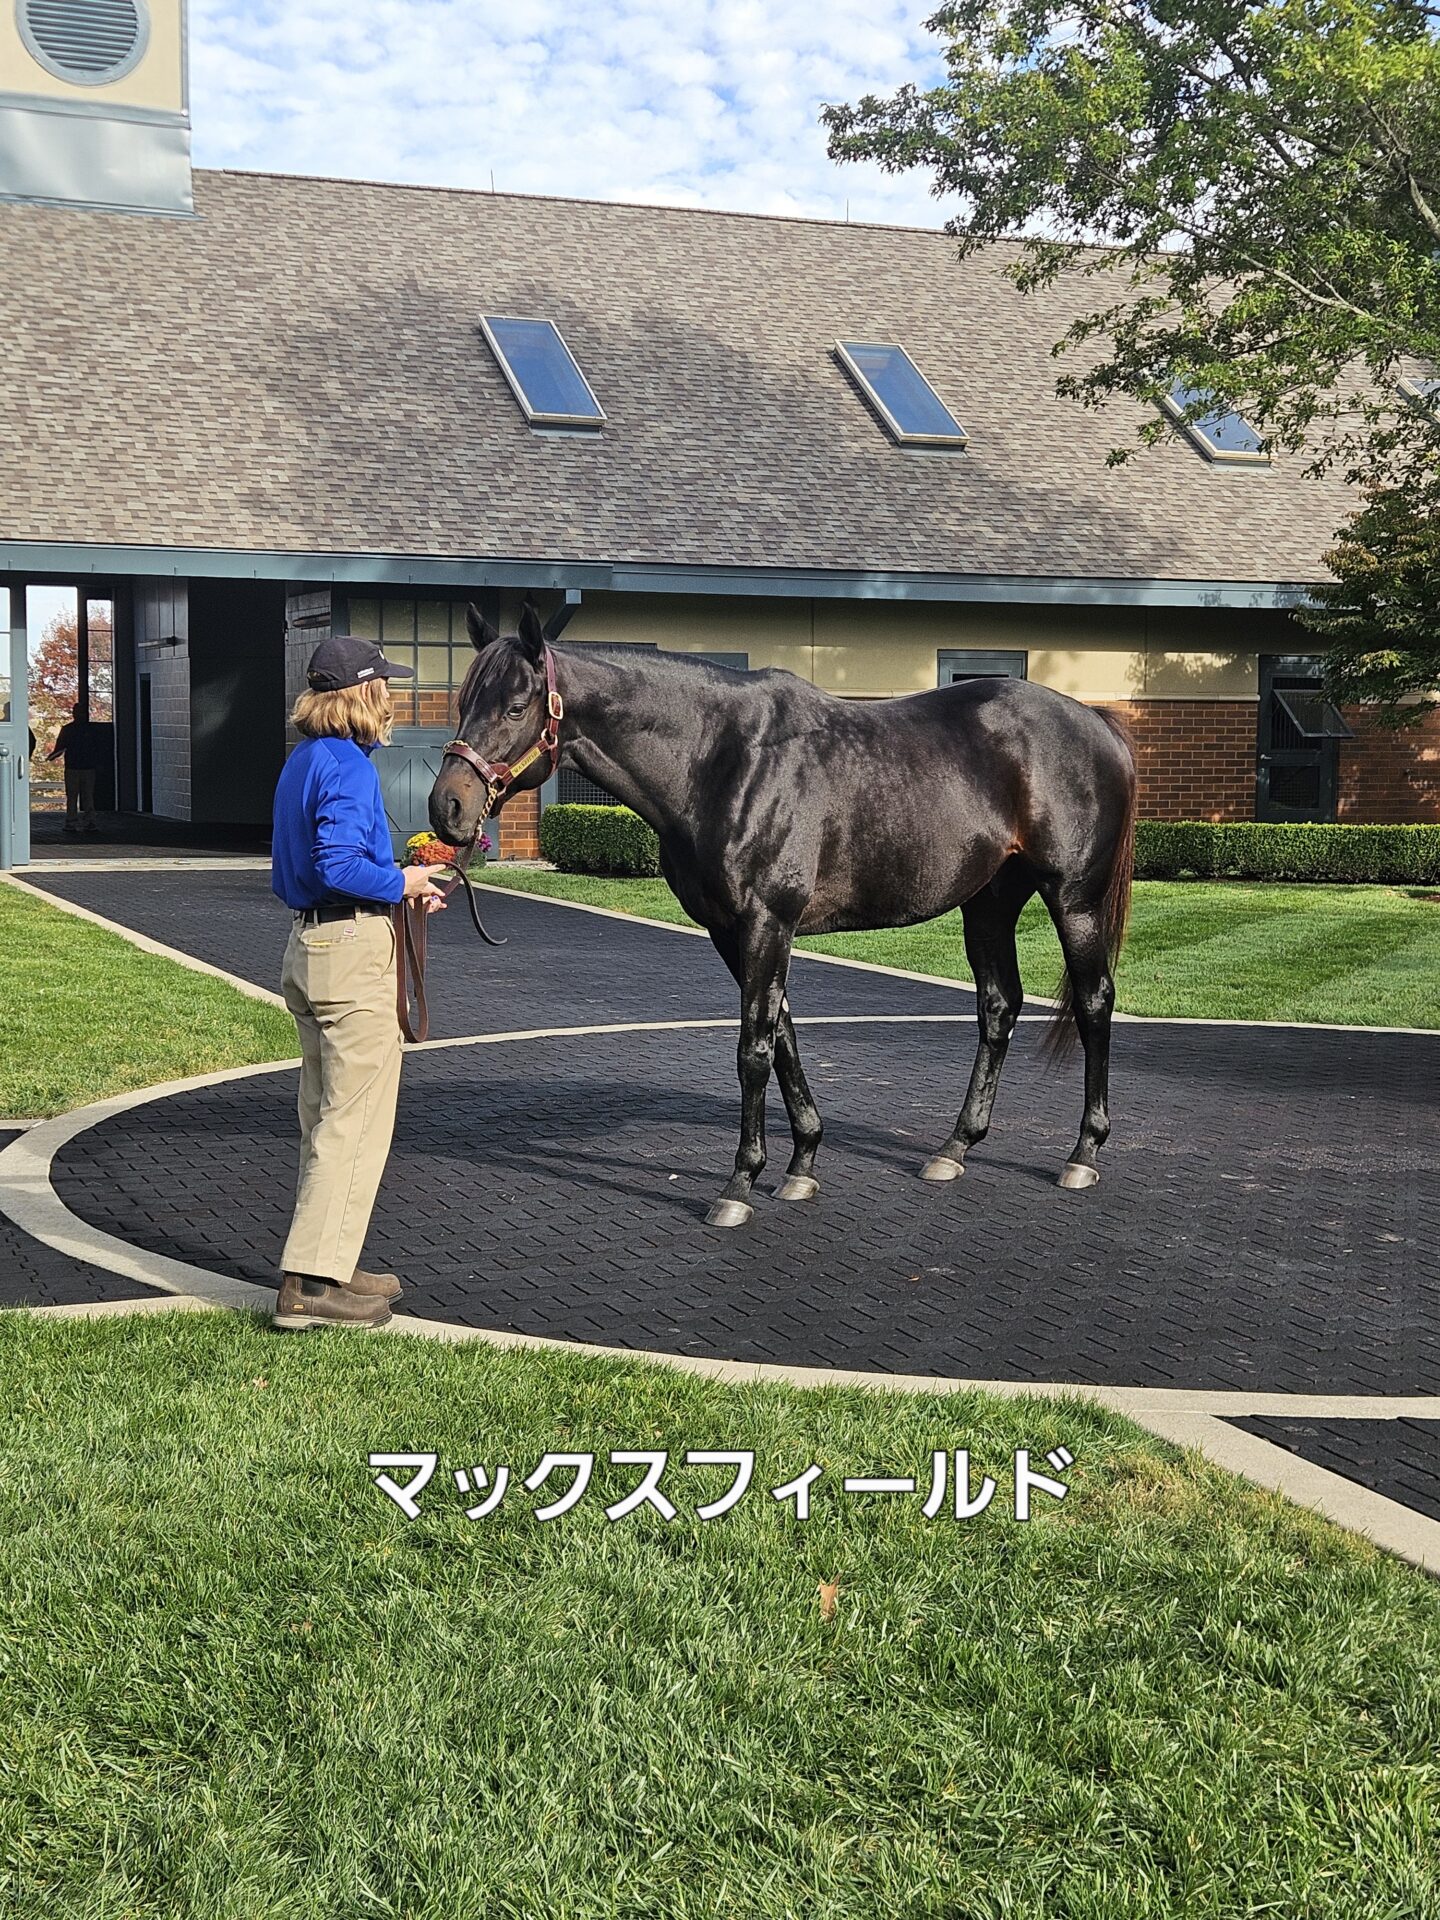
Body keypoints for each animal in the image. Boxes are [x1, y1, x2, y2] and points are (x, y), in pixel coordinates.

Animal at [430, 599, 1137, 1229]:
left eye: (515, 706)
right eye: (463, 701)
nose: (448, 808)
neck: (720, 760)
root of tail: (1097, 722)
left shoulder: (767, 922)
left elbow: (753, 1049)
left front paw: (740, 1183)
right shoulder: (733, 931)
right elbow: (783, 1037)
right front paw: (801, 1164)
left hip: (1072, 898)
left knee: (1094, 999)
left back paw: (1083, 1152)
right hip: (988, 902)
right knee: (998, 1007)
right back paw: (955, 1147)